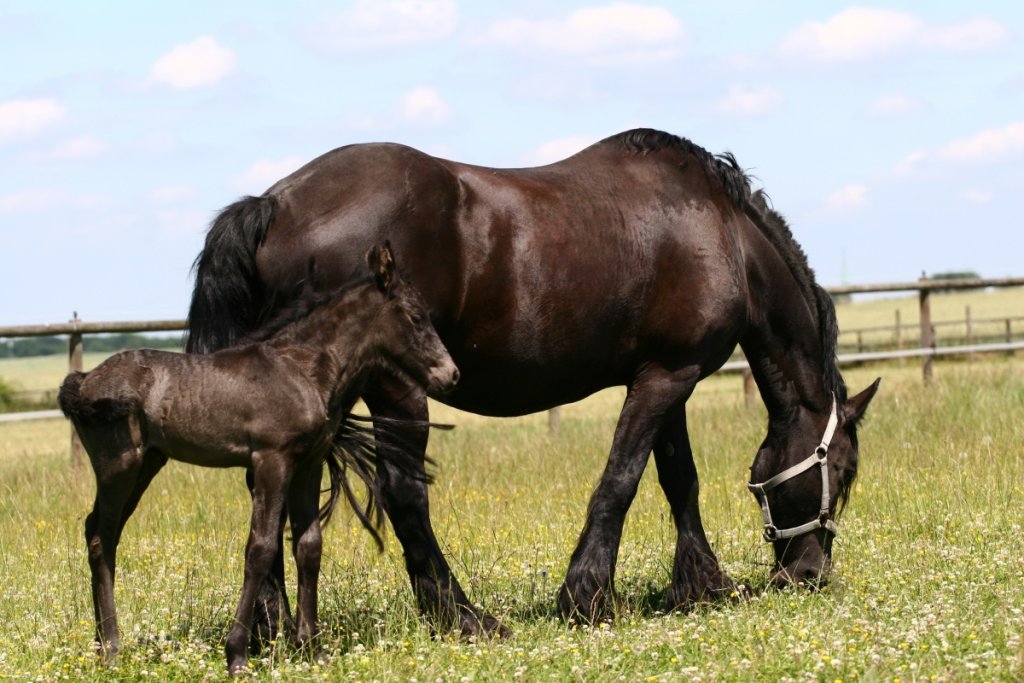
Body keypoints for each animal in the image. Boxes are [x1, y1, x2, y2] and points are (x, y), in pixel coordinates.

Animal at [59, 244, 459, 673]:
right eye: (415, 316)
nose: (450, 374)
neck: (302, 369)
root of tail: (83, 381)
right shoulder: (272, 459)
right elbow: (261, 548)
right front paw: (236, 654)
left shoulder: (309, 463)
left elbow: (309, 545)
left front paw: (311, 648)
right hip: (118, 465)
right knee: (101, 536)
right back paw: (112, 649)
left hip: (147, 463)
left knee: (101, 531)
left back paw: (103, 645)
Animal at [186, 128, 880, 635]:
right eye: (844, 473)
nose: (808, 574)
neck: (723, 231)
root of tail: (275, 203)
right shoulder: (667, 377)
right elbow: (622, 481)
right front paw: (586, 597)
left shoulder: (665, 375)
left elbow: (678, 480)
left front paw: (702, 587)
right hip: (393, 388)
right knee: (404, 494)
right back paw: (463, 617)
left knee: (272, 489)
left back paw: (272, 625)